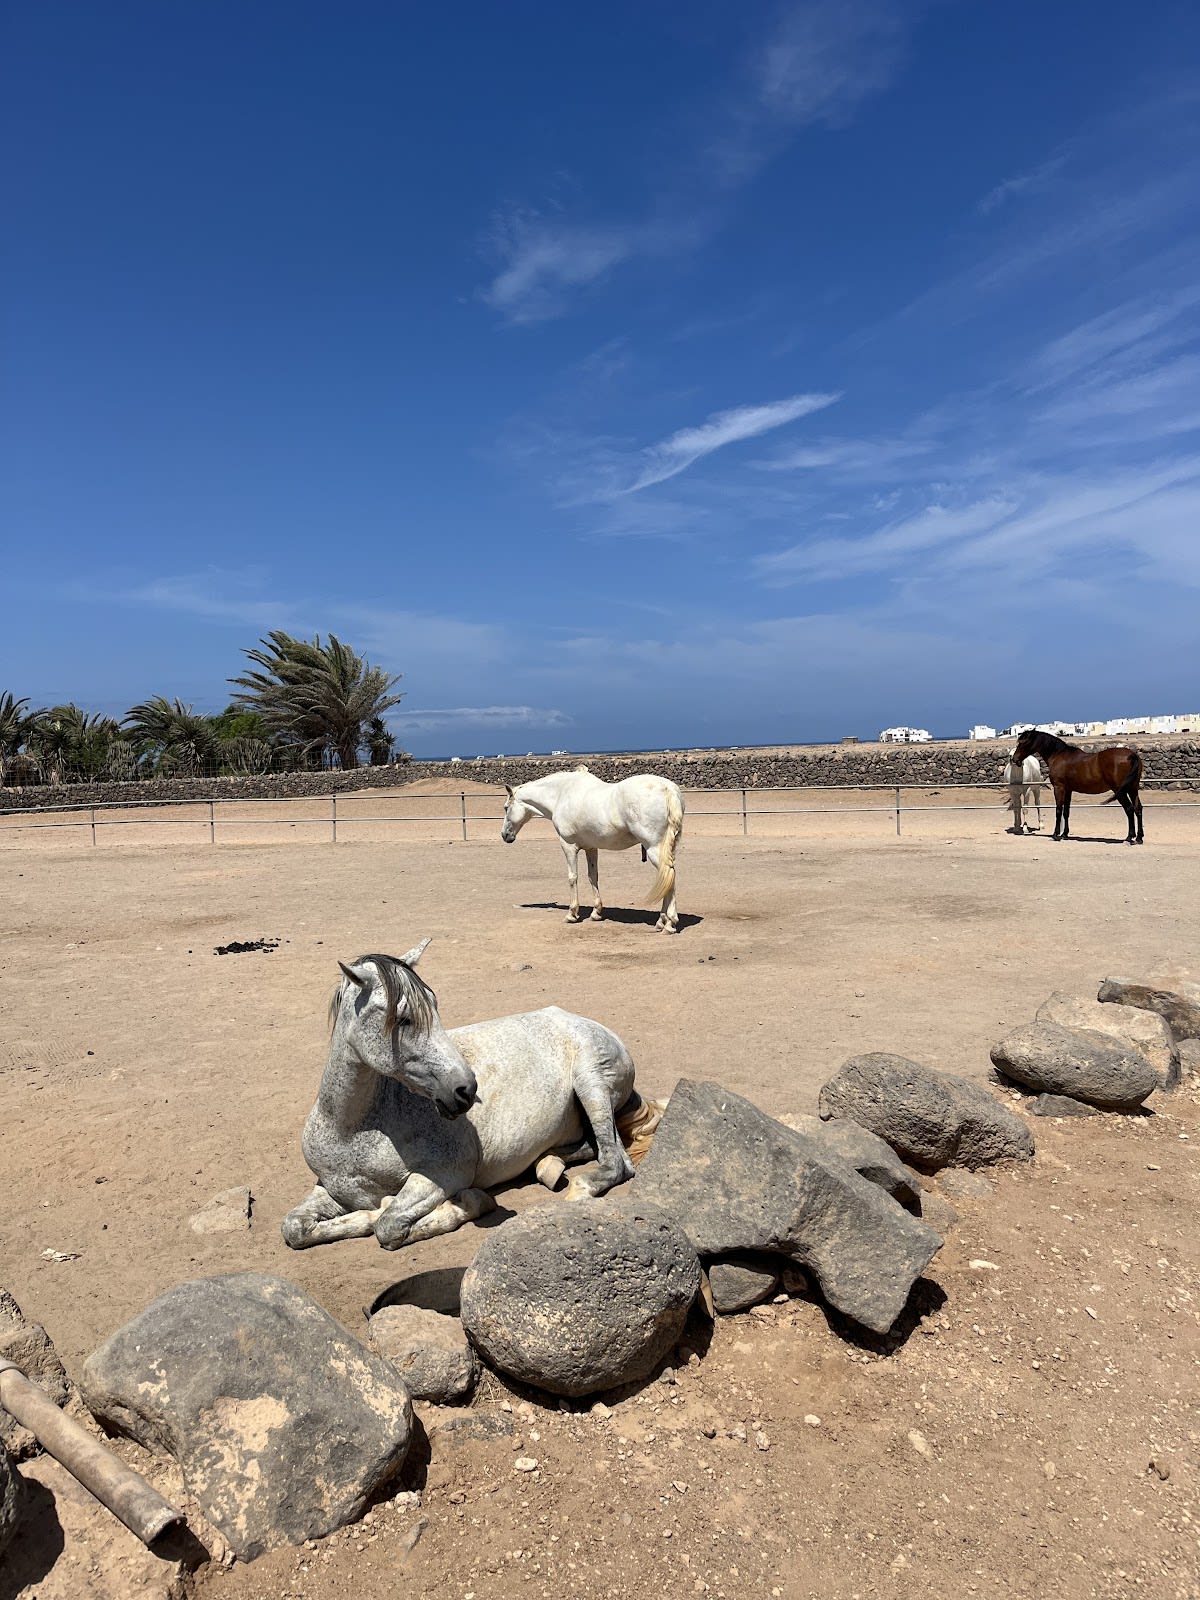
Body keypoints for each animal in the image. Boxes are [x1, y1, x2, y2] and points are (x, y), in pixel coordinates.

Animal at [281, 941, 643, 1251]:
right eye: (403, 1019)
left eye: (434, 1006)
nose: (466, 1089)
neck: (349, 1129)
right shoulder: (331, 1189)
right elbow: (293, 1228)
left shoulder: (445, 1174)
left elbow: (388, 1225)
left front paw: (468, 1204)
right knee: (591, 1146)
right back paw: (547, 1165)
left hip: (591, 1084)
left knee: (616, 1161)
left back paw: (579, 1187)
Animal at [501, 767, 685, 932]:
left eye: (506, 808)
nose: (504, 835)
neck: (561, 794)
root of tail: (667, 788)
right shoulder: (591, 848)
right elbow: (593, 876)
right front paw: (596, 912)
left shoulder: (568, 845)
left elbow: (572, 877)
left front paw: (572, 914)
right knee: (667, 877)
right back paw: (661, 921)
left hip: (655, 849)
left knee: (668, 875)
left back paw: (669, 923)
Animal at [1011, 729, 1144, 844]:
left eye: (1022, 743)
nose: (1014, 759)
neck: (1058, 755)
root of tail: (1132, 755)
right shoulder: (1068, 790)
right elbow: (1066, 812)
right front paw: (1065, 834)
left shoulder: (1059, 788)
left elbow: (1058, 810)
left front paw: (1056, 834)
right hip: (1133, 789)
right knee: (1138, 808)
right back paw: (1139, 838)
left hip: (1120, 791)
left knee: (1129, 809)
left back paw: (1129, 837)